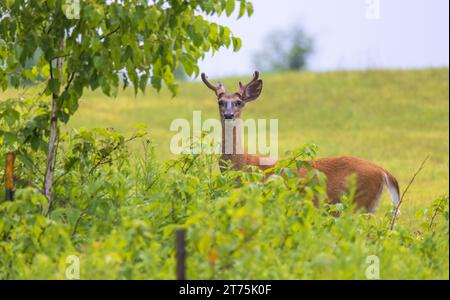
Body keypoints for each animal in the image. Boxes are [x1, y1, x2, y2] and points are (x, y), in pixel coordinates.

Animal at [201, 70, 400, 212]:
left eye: (239, 102)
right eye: (220, 102)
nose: (228, 115)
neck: (241, 164)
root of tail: (384, 171)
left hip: (358, 202)